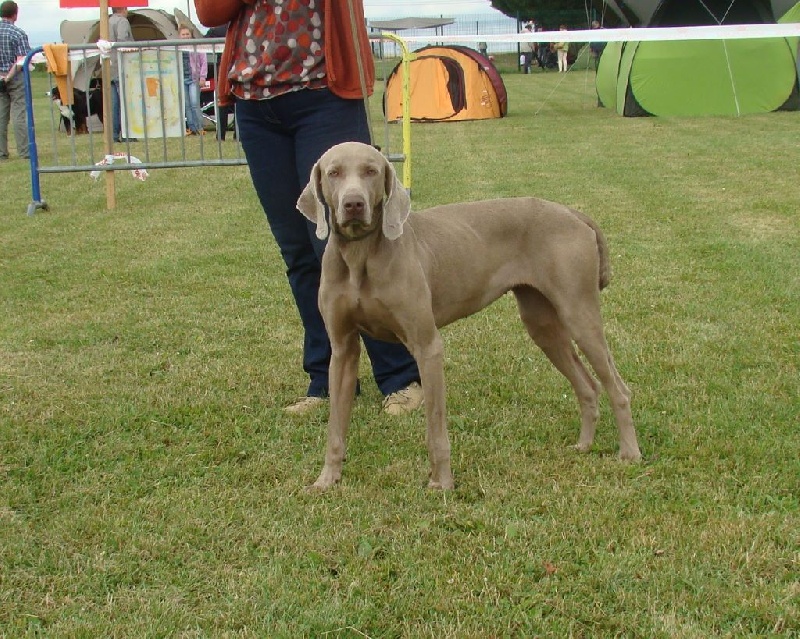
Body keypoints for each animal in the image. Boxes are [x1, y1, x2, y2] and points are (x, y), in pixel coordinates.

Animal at [296, 141, 640, 490]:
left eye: (371, 170)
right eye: (333, 172)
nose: (353, 204)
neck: (360, 255)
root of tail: (572, 212)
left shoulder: (427, 347)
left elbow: (435, 429)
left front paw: (442, 484)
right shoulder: (343, 350)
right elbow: (335, 427)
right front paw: (326, 480)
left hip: (579, 313)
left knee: (618, 389)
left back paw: (629, 453)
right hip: (542, 324)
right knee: (588, 385)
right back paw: (584, 445)